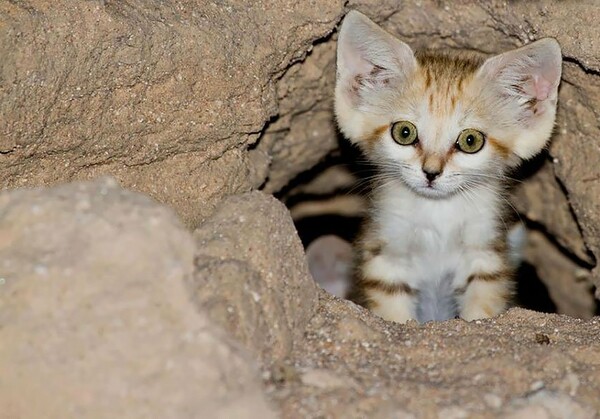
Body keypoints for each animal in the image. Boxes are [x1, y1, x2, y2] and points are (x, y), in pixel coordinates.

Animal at [332, 11, 564, 324]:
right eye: (404, 133)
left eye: (470, 140)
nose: (431, 172)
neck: (437, 213)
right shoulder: (385, 257)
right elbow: (393, 311)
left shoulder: (486, 256)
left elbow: (481, 306)